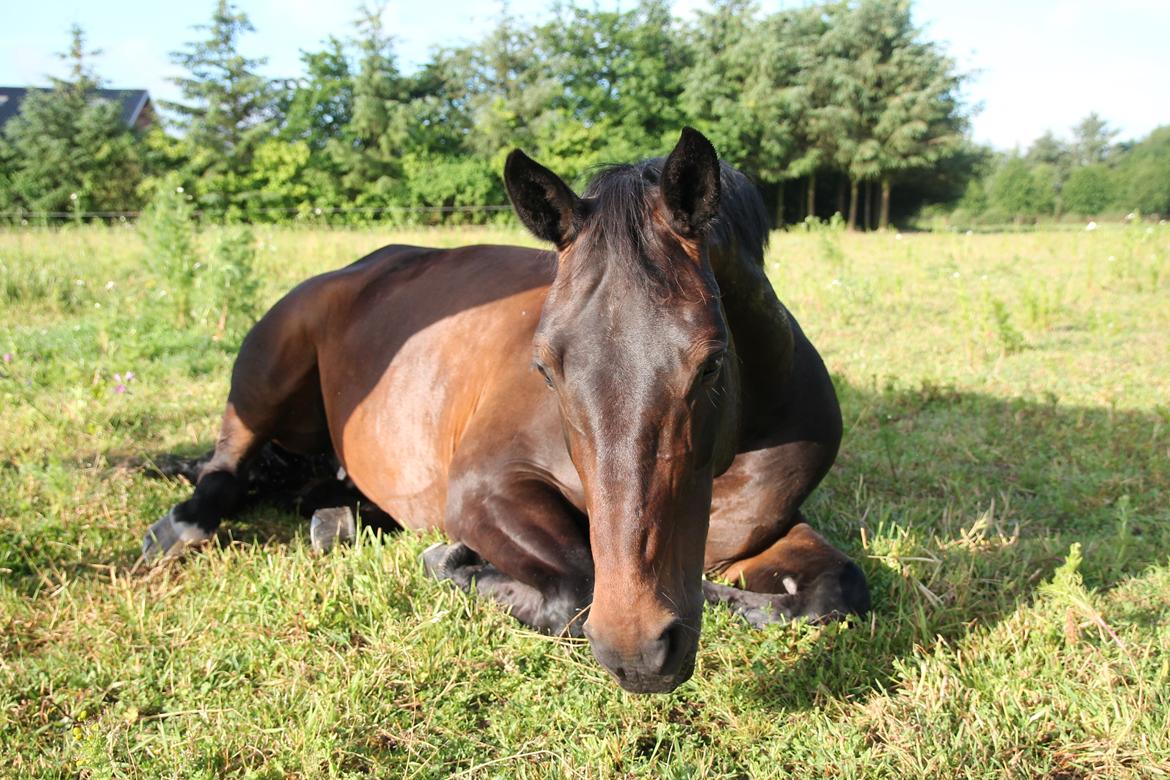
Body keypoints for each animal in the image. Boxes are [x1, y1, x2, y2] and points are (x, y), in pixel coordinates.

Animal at [143, 128, 870, 696]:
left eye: (712, 363)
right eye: (544, 367)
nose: (638, 649)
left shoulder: (769, 530)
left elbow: (838, 590)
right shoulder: (485, 489)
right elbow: (576, 587)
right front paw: (453, 561)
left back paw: (338, 518)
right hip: (265, 371)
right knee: (226, 466)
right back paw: (182, 527)